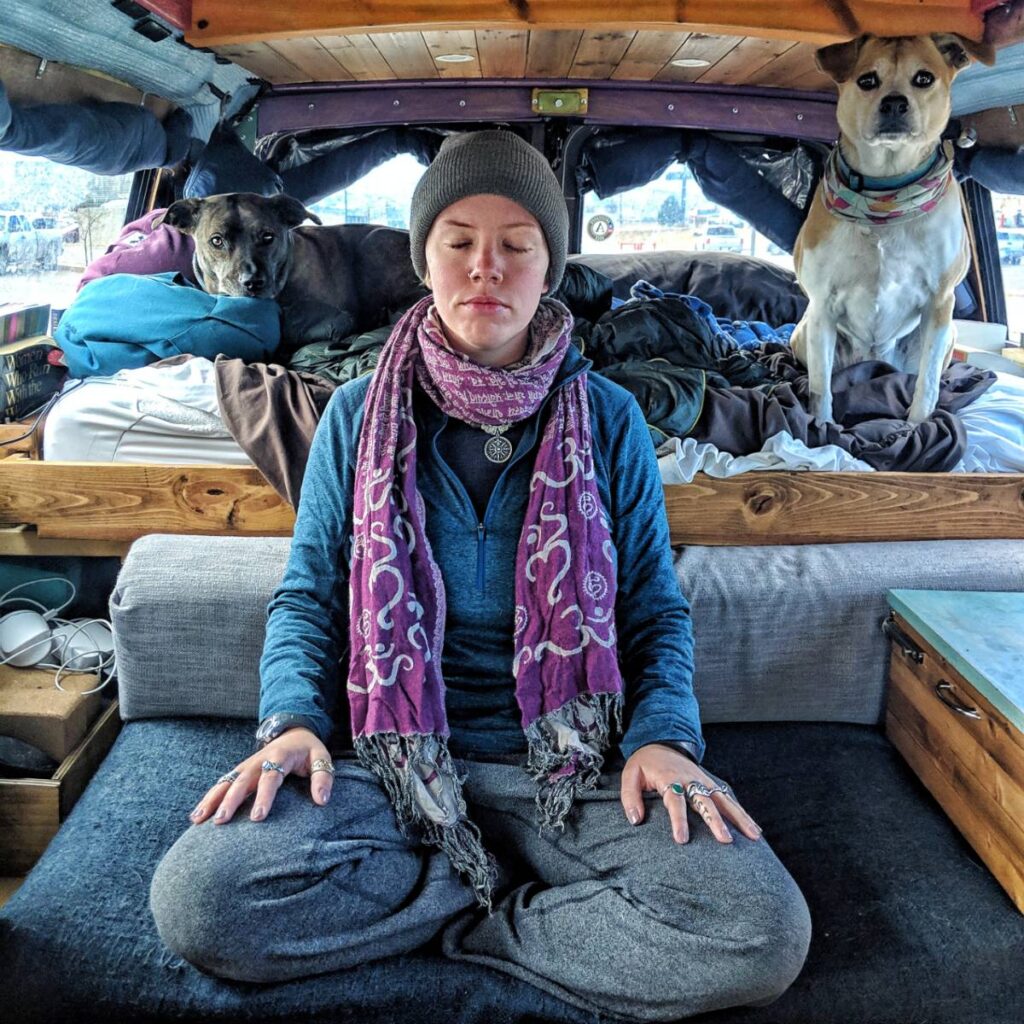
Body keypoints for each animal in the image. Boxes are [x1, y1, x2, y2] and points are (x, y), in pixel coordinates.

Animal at [790, 34, 991, 421]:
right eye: (867, 80)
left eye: (924, 78)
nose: (895, 103)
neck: (884, 195)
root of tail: (873, 358)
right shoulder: (822, 306)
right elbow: (821, 386)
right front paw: (822, 428)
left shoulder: (940, 303)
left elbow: (927, 385)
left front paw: (917, 425)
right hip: (803, 331)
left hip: (946, 334)